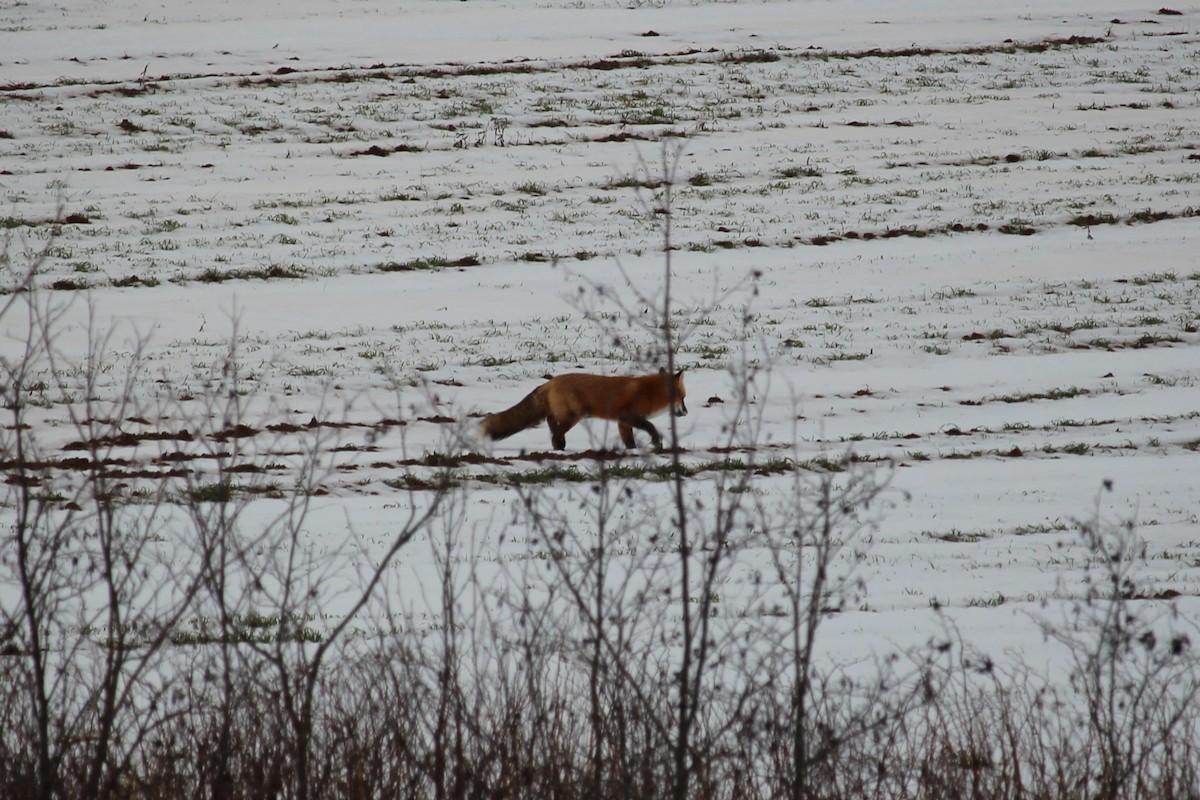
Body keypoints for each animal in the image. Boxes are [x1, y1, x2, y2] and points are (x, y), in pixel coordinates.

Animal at [479, 368, 687, 451]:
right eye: (684, 398)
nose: (686, 412)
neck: (649, 392)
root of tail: (550, 381)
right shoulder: (628, 416)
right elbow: (651, 426)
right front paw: (657, 441)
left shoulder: (622, 422)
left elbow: (629, 441)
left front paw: (632, 452)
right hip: (575, 415)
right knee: (553, 425)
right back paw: (558, 445)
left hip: (570, 415)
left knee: (550, 420)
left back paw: (559, 443)